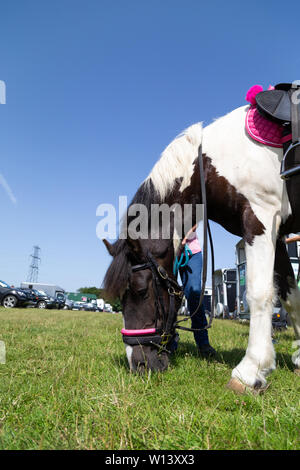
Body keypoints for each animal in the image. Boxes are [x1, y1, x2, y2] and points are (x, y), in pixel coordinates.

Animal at [103, 96, 300, 392]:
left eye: (140, 291)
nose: (138, 365)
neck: (210, 167)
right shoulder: (277, 235)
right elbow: (290, 295)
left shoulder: (260, 219)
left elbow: (259, 294)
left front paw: (251, 370)